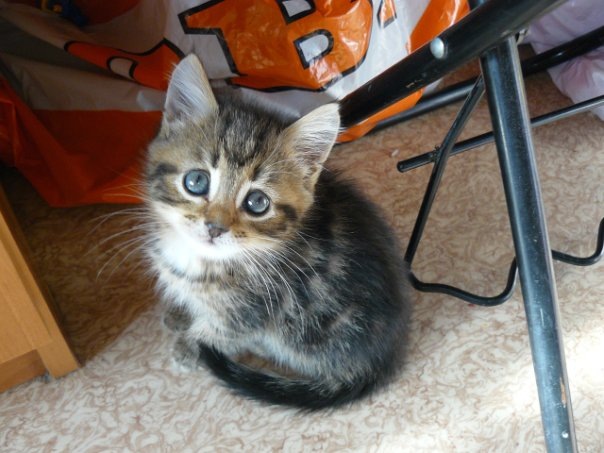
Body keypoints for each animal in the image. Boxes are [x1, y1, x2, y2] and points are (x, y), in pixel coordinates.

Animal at [144, 54, 411, 410]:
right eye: (196, 181)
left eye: (257, 202)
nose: (215, 227)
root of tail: (382, 362)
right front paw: (179, 313)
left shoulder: (253, 311)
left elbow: (223, 332)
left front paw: (191, 345)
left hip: (301, 327)